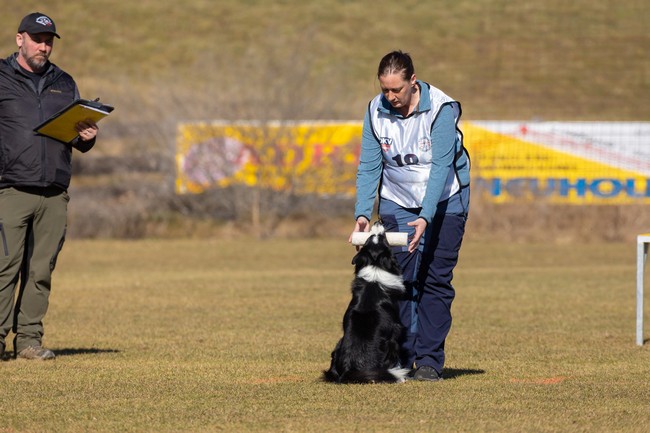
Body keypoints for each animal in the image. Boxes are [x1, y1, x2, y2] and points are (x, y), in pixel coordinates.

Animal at [323, 222, 409, 384]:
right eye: (382, 238)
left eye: (369, 238)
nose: (377, 223)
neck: (375, 265)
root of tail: (349, 369)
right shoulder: (395, 330)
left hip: (338, 344)